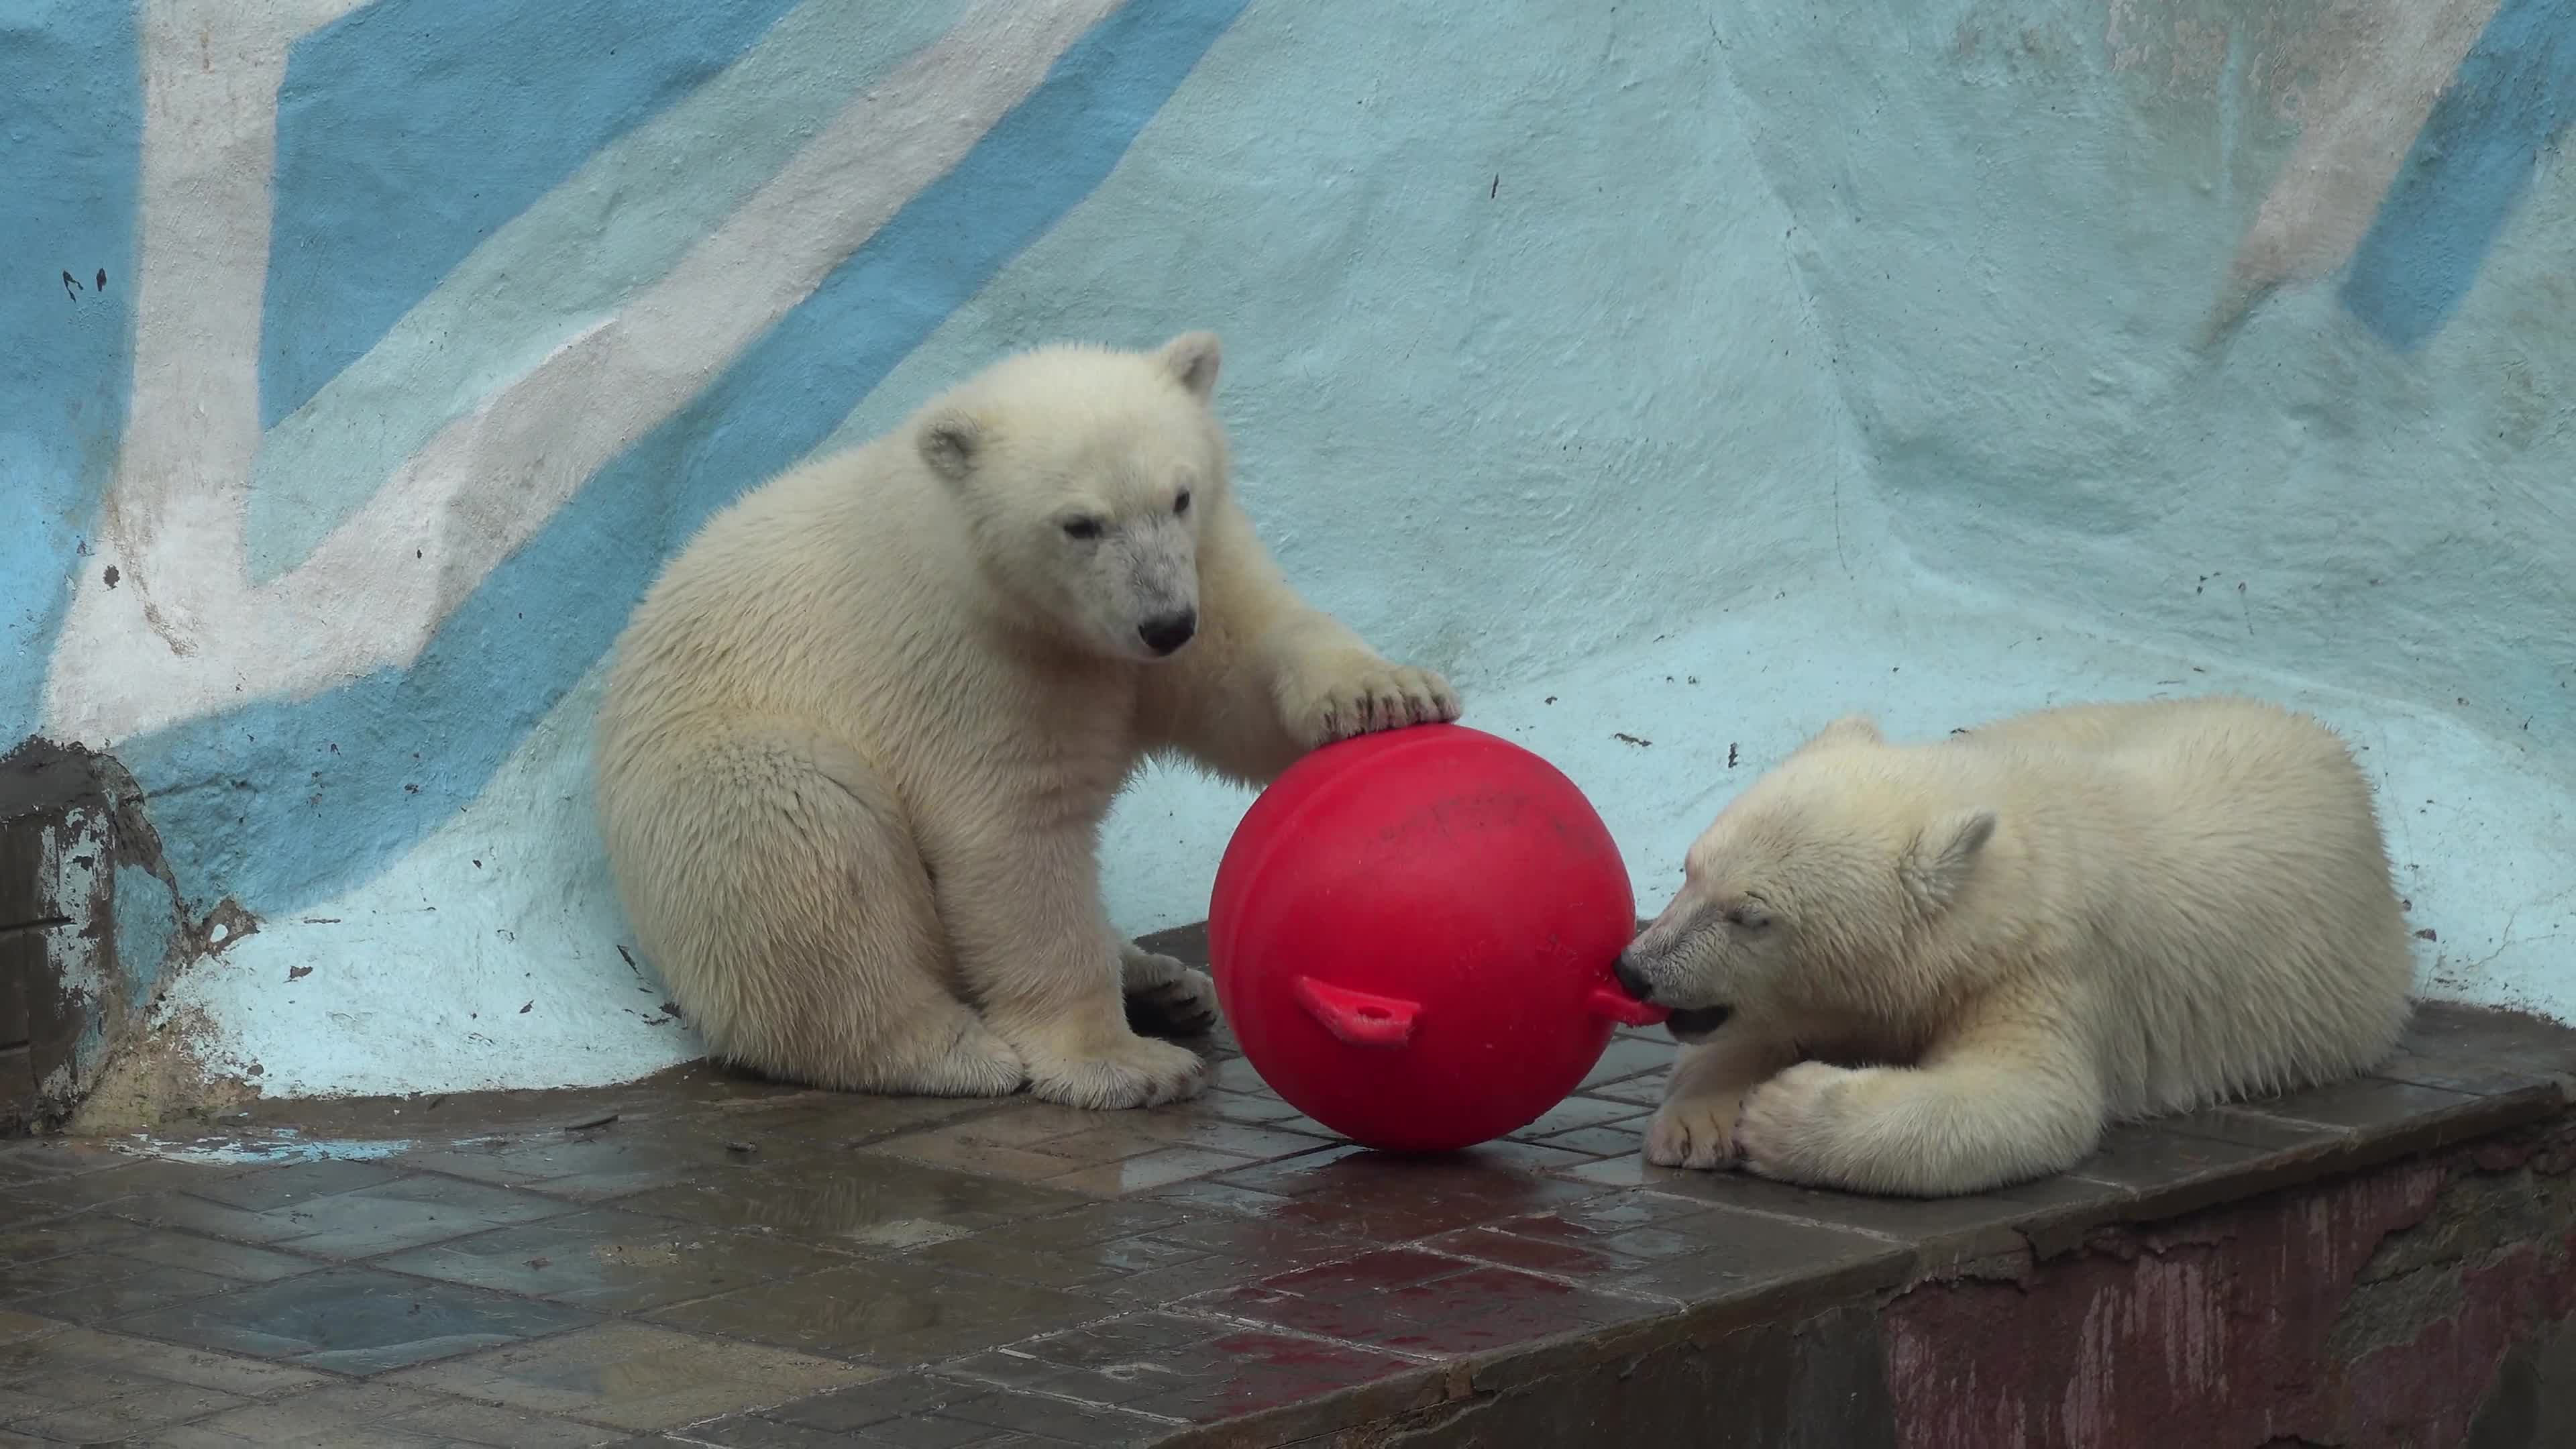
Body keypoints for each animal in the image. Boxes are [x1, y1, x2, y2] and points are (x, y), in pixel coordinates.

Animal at [590, 332, 1463, 1108]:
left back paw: (1165, 981)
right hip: (709, 785)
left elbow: (1238, 675)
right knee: (808, 838)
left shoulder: (1196, 572)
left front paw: (1385, 696)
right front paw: (1125, 1067)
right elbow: (1012, 833)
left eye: (1179, 496)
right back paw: (953, 1051)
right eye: (1081, 524)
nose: (1164, 624)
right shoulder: (969, 656)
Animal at [1617, 696, 2421, 1191]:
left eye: (1750, 916)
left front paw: (1780, 1110)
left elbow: (2030, 1102)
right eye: (1689, 870)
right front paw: (1699, 1122)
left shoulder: (2044, 968)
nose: (1634, 969)